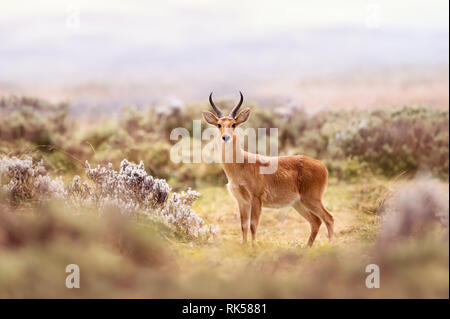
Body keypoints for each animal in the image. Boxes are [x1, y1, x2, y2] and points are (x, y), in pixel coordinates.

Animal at [203, 92, 334, 248]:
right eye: (219, 124)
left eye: (233, 124)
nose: (225, 137)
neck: (241, 164)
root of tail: (322, 166)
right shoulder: (242, 201)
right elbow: (243, 225)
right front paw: (244, 246)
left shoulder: (256, 199)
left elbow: (253, 225)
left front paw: (253, 247)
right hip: (298, 203)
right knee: (316, 221)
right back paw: (307, 247)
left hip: (311, 199)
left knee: (329, 218)